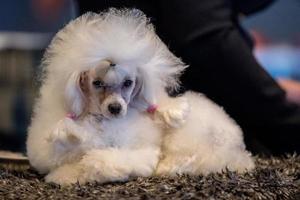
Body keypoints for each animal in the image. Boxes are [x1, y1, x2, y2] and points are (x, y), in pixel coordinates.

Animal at [27, 9, 254, 184]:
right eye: (97, 83)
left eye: (128, 83)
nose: (116, 108)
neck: (103, 122)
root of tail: (239, 150)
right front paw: (65, 175)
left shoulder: (140, 152)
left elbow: (106, 161)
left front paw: (92, 164)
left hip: (191, 137)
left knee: (194, 159)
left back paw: (167, 167)